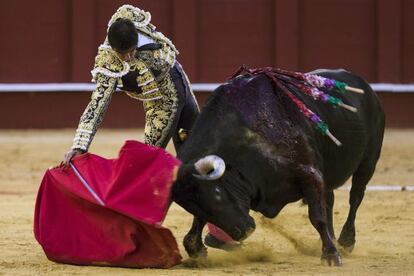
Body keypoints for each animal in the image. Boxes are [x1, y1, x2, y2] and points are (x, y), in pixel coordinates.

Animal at [171, 68, 384, 266]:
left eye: (216, 193)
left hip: (368, 161)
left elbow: (317, 217)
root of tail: (364, 86)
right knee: (330, 200)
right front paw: (196, 248)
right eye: (191, 206)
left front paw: (331, 256)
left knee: (355, 196)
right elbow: (198, 222)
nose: (244, 231)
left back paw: (346, 241)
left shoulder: (310, 173)